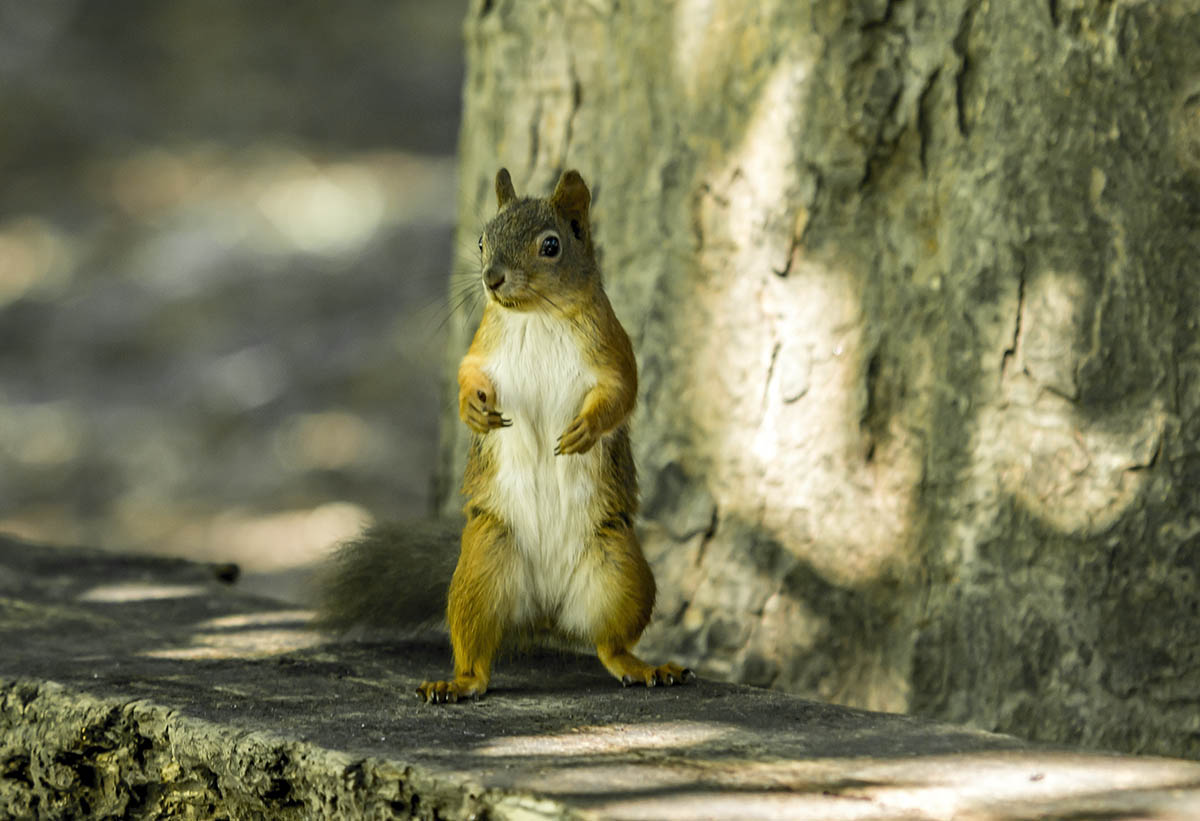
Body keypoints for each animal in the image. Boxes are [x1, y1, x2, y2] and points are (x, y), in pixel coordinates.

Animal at [319, 168, 696, 705]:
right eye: (482, 240)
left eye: (551, 245)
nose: (491, 278)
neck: (535, 314)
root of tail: (545, 614)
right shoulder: (483, 345)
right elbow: (468, 372)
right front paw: (473, 411)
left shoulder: (612, 349)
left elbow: (621, 394)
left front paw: (583, 431)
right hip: (482, 566)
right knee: (476, 652)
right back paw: (458, 682)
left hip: (621, 569)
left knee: (610, 645)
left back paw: (642, 667)